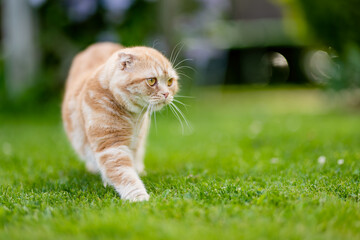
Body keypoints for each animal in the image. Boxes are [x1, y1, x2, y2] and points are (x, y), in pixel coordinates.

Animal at [63, 42, 180, 202]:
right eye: (151, 81)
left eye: (170, 81)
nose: (166, 93)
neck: (133, 118)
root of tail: (100, 44)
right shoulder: (111, 146)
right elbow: (125, 175)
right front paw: (139, 198)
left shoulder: (135, 141)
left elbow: (132, 164)